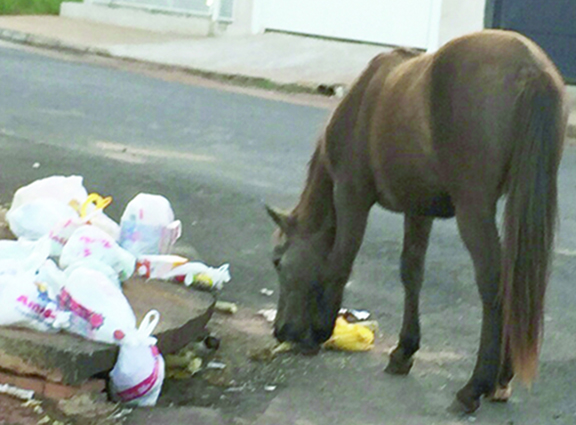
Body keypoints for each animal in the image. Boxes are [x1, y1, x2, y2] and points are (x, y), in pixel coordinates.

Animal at [266, 30, 568, 414]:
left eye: (278, 261)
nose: (281, 330)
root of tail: (531, 68)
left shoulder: (351, 195)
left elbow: (340, 261)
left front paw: (318, 333)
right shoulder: (418, 209)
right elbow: (411, 272)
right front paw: (403, 351)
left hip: (473, 210)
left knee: (493, 283)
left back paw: (476, 386)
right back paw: (500, 380)